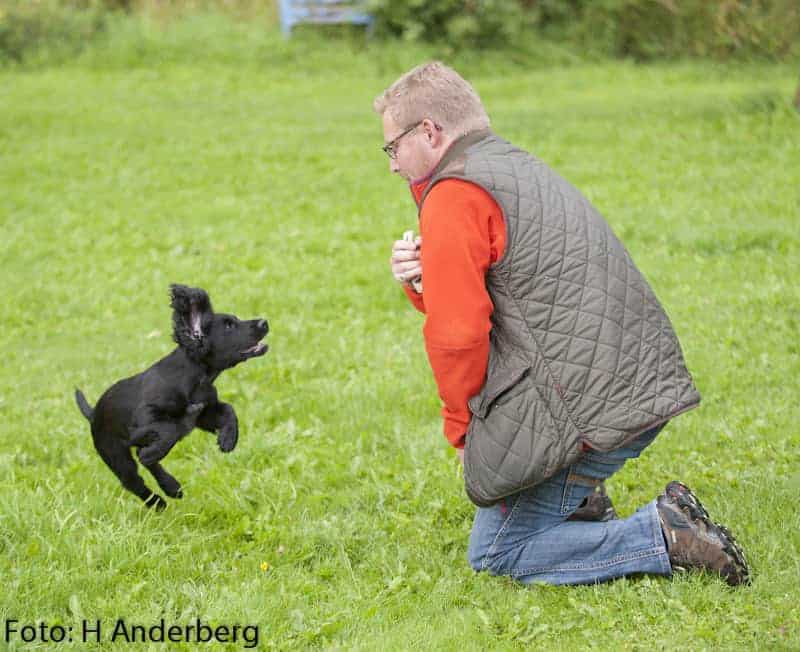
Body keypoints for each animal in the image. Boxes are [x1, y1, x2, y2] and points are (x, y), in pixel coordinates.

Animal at [75, 286, 268, 510]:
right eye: (229, 326)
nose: (265, 322)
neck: (195, 378)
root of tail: (93, 414)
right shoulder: (144, 421)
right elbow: (170, 429)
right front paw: (155, 451)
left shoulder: (205, 413)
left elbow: (228, 409)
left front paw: (228, 439)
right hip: (115, 454)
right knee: (133, 480)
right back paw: (157, 501)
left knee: (146, 464)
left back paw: (171, 487)